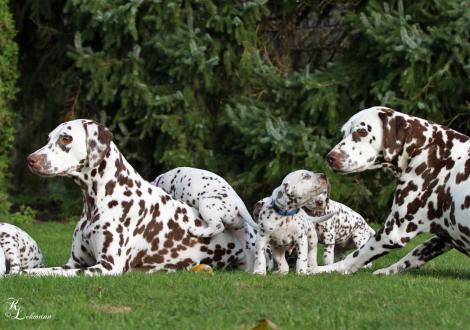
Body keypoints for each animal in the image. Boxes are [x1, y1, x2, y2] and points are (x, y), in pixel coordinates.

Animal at [23, 119, 244, 276]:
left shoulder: (107, 266)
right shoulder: (74, 263)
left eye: (66, 138)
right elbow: (42, 271)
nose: (30, 160)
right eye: (48, 138)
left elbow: (46, 274)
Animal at [310, 107, 470, 274]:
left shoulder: (392, 232)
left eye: (361, 131)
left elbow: (352, 258)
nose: (329, 157)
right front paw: (387, 271)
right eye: (343, 133)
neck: (424, 149)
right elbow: (412, 256)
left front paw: (321, 270)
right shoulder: (442, 238)